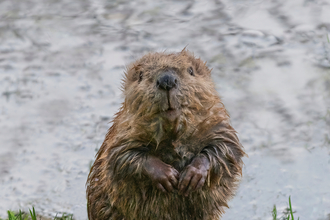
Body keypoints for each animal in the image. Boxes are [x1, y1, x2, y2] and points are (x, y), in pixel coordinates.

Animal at [86, 49, 246, 220]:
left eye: (190, 70)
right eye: (141, 75)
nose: (166, 80)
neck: (173, 133)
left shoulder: (216, 123)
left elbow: (226, 148)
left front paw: (191, 176)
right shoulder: (124, 130)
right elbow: (121, 157)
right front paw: (168, 176)